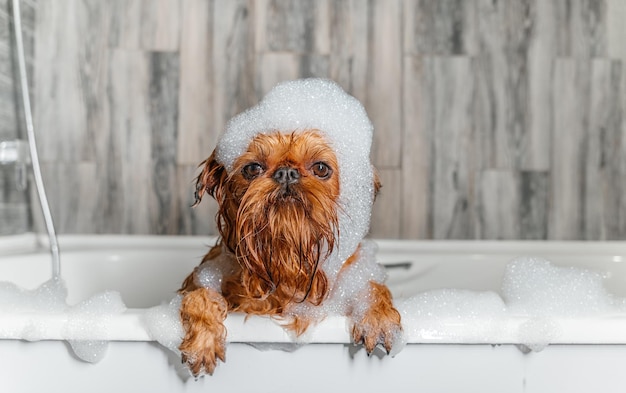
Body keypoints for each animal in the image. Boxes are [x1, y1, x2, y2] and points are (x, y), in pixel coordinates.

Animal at [177, 78, 400, 376]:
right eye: (252, 169)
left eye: (321, 168)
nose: (286, 172)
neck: (286, 259)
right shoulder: (206, 274)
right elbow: (199, 295)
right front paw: (202, 341)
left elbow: (373, 286)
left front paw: (379, 316)